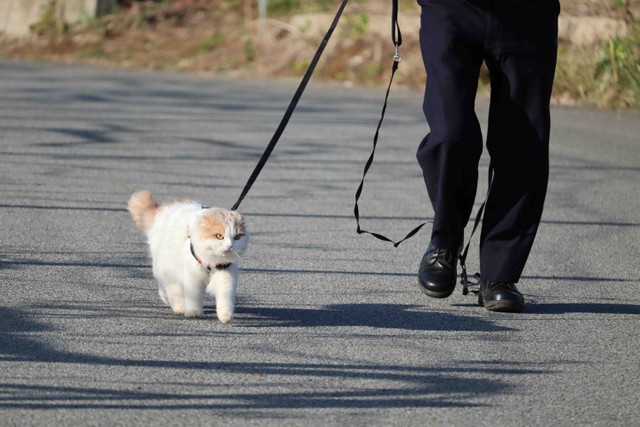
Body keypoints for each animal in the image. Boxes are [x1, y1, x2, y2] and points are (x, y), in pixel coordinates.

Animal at [127, 191, 248, 324]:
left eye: (237, 237)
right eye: (219, 236)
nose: (230, 246)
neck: (211, 261)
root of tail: (161, 212)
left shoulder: (226, 275)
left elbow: (225, 298)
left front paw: (225, 315)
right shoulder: (192, 276)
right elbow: (194, 297)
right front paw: (194, 313)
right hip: (168, 267)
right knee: (169, 289)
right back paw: (178, 306)